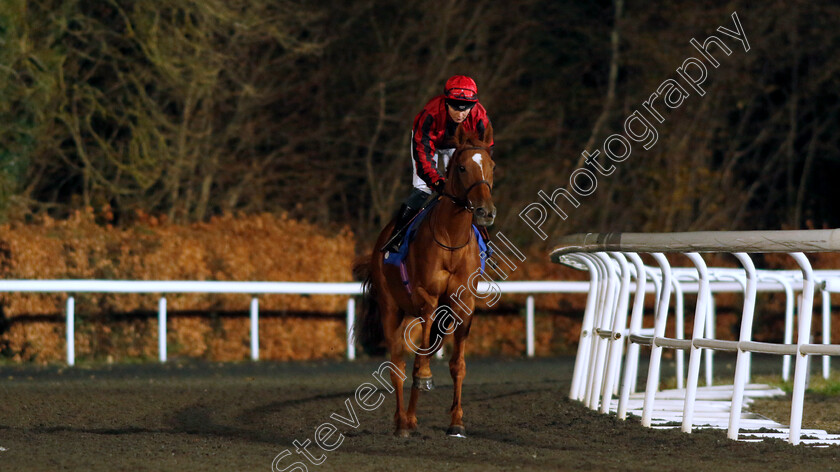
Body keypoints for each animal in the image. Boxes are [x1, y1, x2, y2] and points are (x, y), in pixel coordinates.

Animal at [352, 122, 496, 438]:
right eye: (463, 168)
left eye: (492, 165)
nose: (485, 211)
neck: (451, 238)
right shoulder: (425, 296)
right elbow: (417, 356)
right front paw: (425, 379)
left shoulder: (463, 303)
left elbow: (457, 364)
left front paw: (456, 421)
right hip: (391, 309)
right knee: (398, 364)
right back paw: (401, 422)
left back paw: (412, 417)